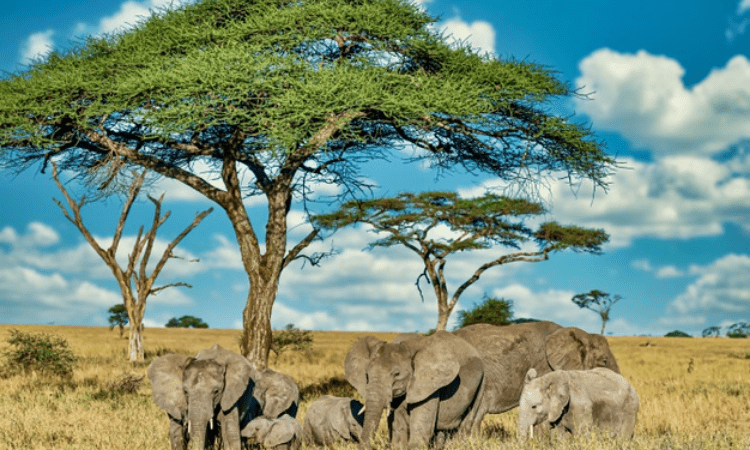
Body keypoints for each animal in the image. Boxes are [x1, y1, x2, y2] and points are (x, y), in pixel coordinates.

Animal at [344, 330, 484, 449]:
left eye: (397, 374)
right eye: (367, 375)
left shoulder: (429, 386)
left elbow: (421, 429)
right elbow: (398, 428)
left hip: (482, 380)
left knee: (468, 422)